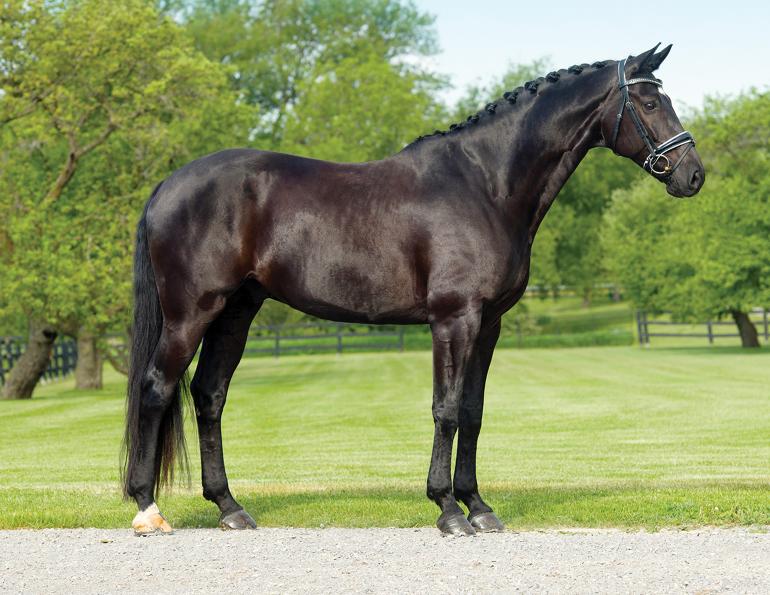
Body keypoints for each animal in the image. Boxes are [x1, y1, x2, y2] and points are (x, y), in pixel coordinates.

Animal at [123, 44, 704, 536]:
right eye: (650, 102)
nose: (693, 175)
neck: (485, 185)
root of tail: (167, 185)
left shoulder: (489, 324)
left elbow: (472, 410)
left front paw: (480, 507)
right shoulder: (454, 318)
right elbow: (445, 409)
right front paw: (448, 510)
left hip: (237, 312)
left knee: (208, 395)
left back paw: (230, 508)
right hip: (192, 312)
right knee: (157, 387)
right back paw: (148, 509)